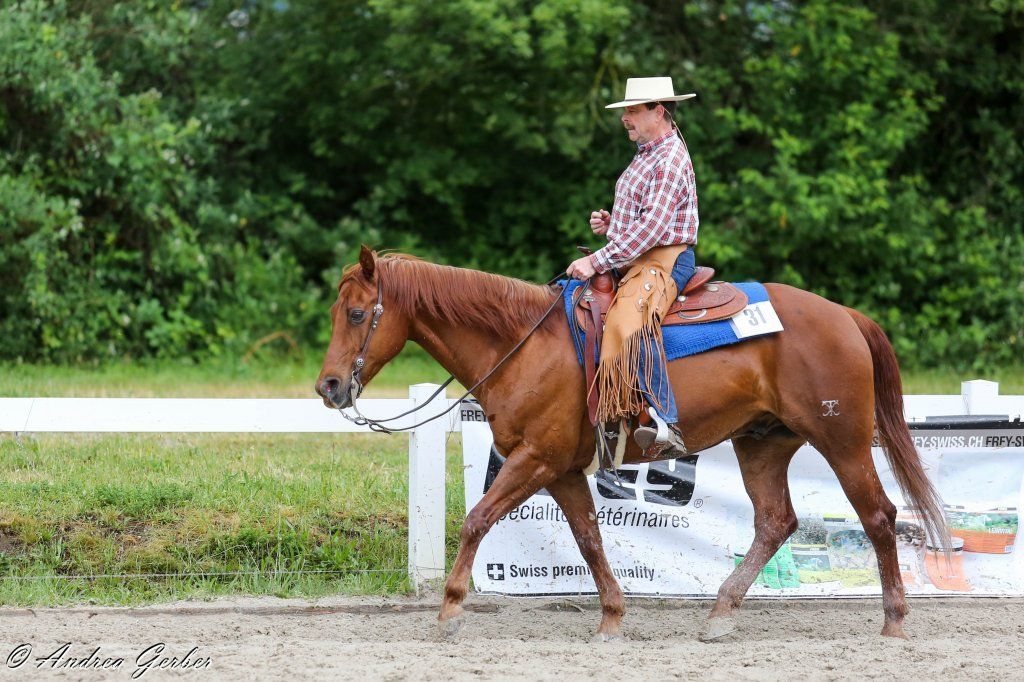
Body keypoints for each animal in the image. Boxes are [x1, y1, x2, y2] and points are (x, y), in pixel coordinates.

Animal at [316, 246, 947, 642]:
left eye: (357, 313)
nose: (329, 386)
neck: (523, 344)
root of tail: (844, 315)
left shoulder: (535, 459)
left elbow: (476, 520)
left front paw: (449, 611)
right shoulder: (561, 470)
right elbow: (591, 541)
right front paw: (612, 618)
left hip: (842, 441)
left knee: (879, 515)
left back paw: (894, 620)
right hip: (762, 444)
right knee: (776, 521)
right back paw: (720, 614)